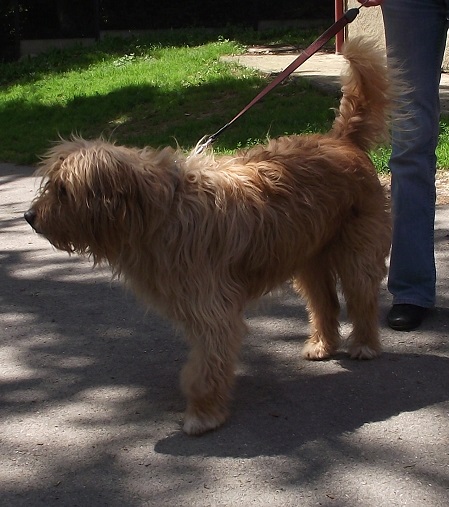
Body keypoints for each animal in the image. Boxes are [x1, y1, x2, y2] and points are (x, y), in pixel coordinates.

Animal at [26, 38, 394, 436]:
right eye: (52, 186)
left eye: (63, 191)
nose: (29, 218)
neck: (160, 213)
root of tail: (340, 141)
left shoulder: (211, 309)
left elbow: (205, 366)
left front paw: (203, 413)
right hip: (307, 256)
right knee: (325, 302)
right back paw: (322, 345)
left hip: (356, 249)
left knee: (361, 297)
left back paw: (364, 345)